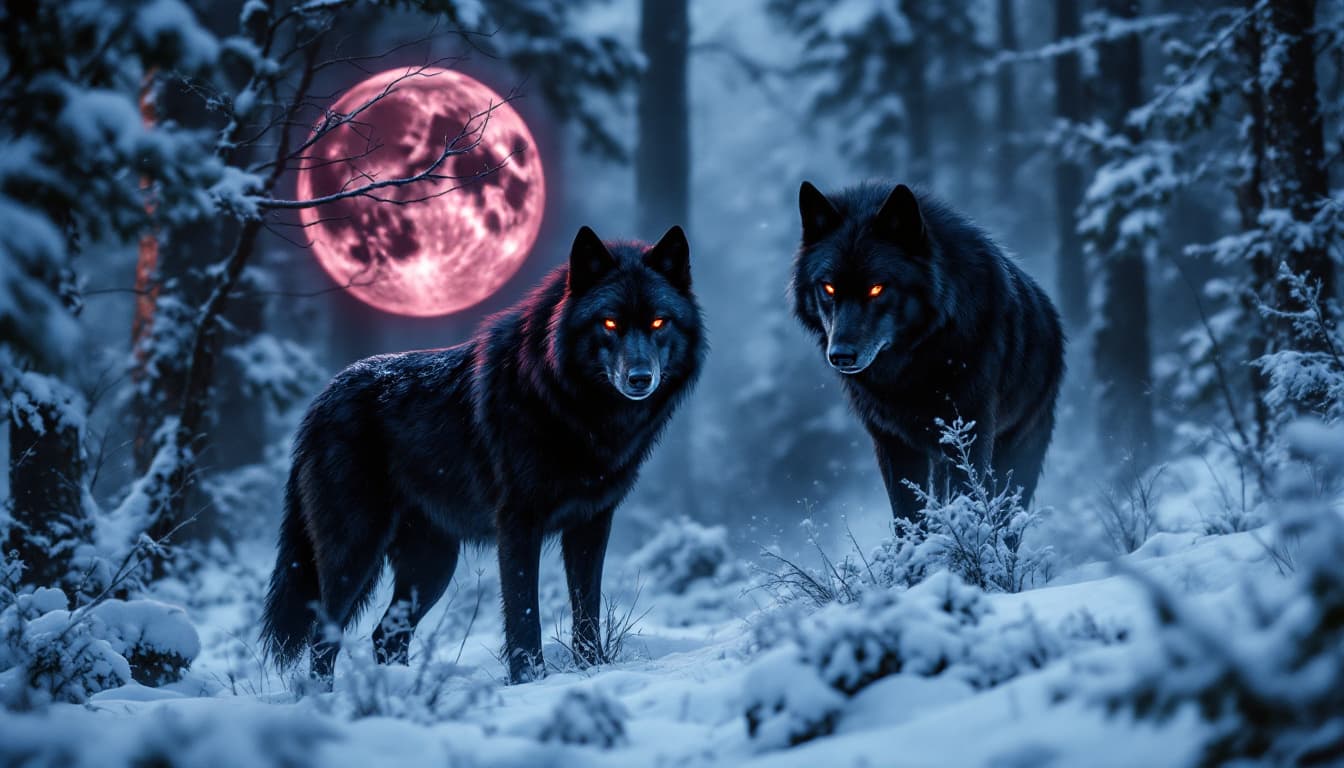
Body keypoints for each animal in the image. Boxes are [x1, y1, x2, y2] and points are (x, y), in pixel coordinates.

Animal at [260, 225, 706, 685]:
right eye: (610, 323)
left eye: (659, 322)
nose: (640, 378)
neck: (571, 408)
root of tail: (319, 401)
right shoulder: (518, 524)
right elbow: (525, 616)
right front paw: (529, 681)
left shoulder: (591, 524)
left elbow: (587, 612)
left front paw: (592, 670)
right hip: (356, 553)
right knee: (323, 638)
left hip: (432, 566)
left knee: (385, 636)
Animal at [791, 181, 1064, 520]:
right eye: (828, 287)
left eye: (876, 288)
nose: (840, 355)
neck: (912, 366)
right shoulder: (893, 442)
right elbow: (908, 516)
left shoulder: (972, 432)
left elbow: (969, 503)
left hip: (1017, 451)